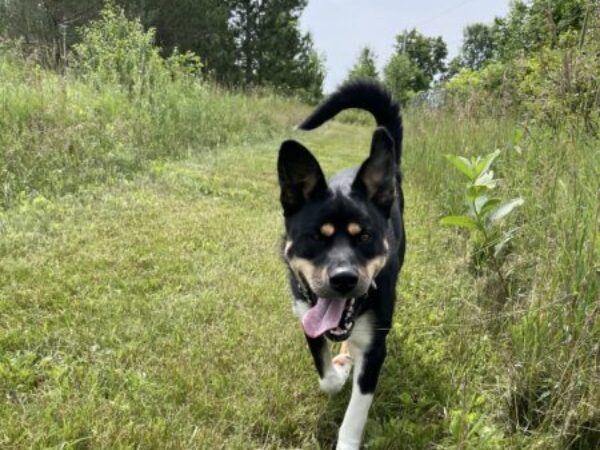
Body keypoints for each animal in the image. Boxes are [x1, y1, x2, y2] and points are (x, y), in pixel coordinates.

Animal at [278, 79, 406, 448]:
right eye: (315, 237)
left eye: (364, 236)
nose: (344, 279)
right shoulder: (305, 315)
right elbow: (327, 378)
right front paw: (341, 366)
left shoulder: (376, 347)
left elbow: (355, 414)